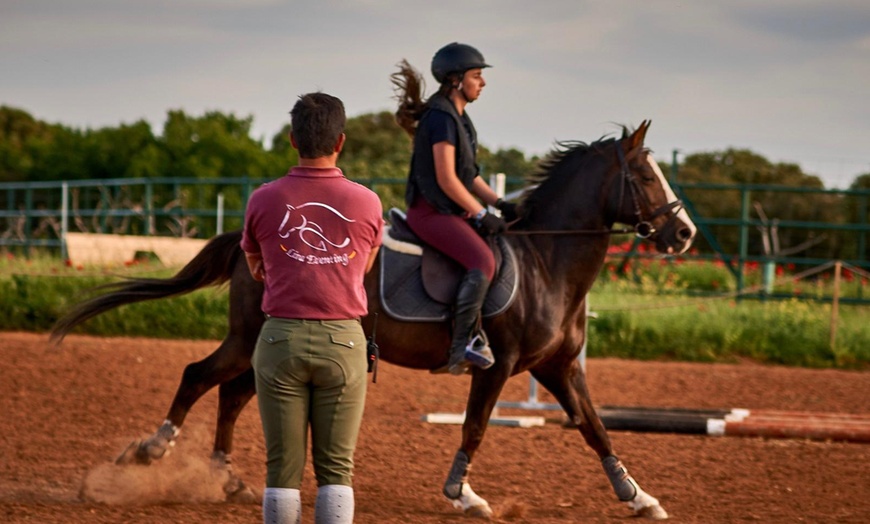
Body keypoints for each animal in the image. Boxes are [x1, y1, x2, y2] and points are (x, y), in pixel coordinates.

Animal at [52, 123, 696, 520]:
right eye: (644, 176)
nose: (685, 233)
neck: (545, 259)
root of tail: (250, 237)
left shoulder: (559, 368)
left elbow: (595, 428)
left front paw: (639, 497)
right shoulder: (498, 366)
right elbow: (476, 428)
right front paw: (463, 496)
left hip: (261, 343)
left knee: (231, 392)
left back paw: (225, 478)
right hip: (248, 335)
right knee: (198, 375)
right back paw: (152, 452)